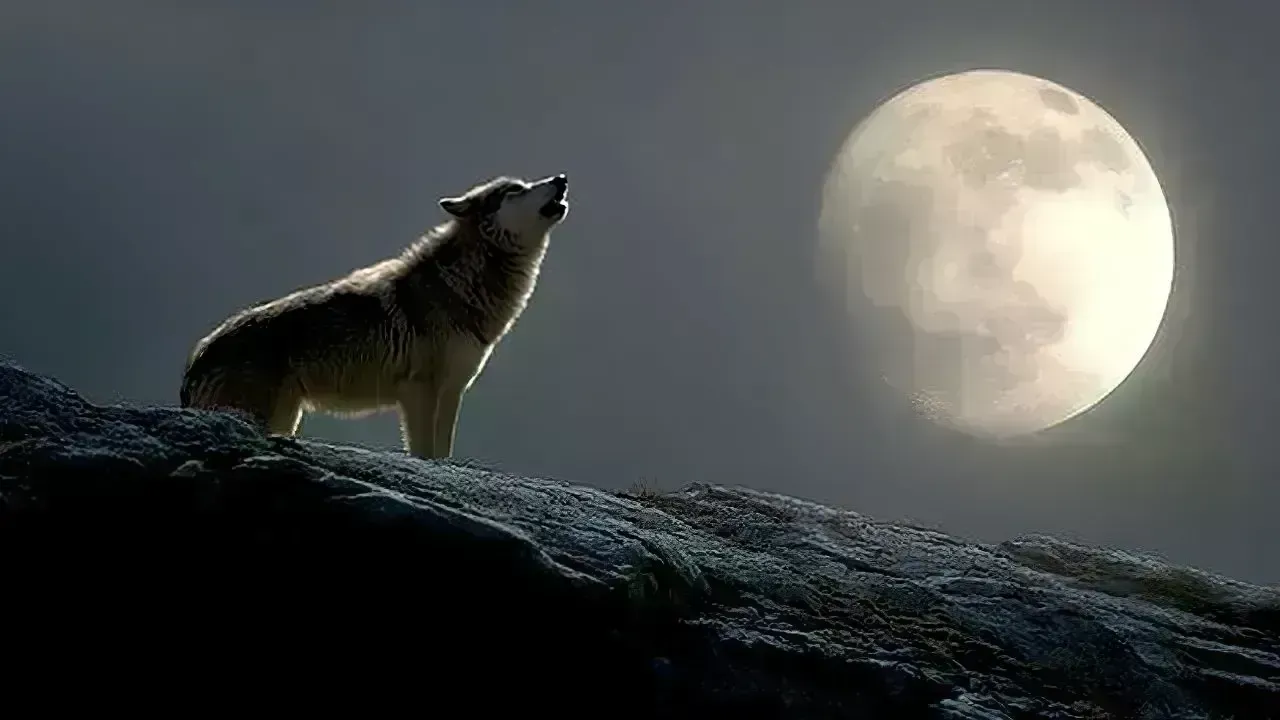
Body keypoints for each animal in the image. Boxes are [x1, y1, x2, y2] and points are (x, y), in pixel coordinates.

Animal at [180, 173, 570, 459]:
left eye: (523, 184)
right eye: (515, 190)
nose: (561, 178)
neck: (462, 283)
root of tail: (196, 359)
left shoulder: (451, 392)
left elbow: (442, 455)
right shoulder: (419, 392)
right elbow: (424, 455)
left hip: (286, 419)